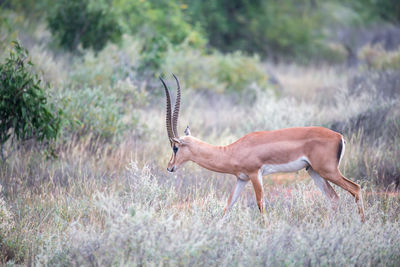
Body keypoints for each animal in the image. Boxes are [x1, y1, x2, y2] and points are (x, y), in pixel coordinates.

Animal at [162, 74, 366, 223]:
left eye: (175, 147)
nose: (169, 167)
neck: (232, 151)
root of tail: (339, 136)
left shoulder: (255, 174)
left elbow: (260, 204)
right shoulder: (241, 178)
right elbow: (228, 205)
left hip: (328, 171)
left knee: (355, 188)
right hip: (313, 171)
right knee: (333, 198)